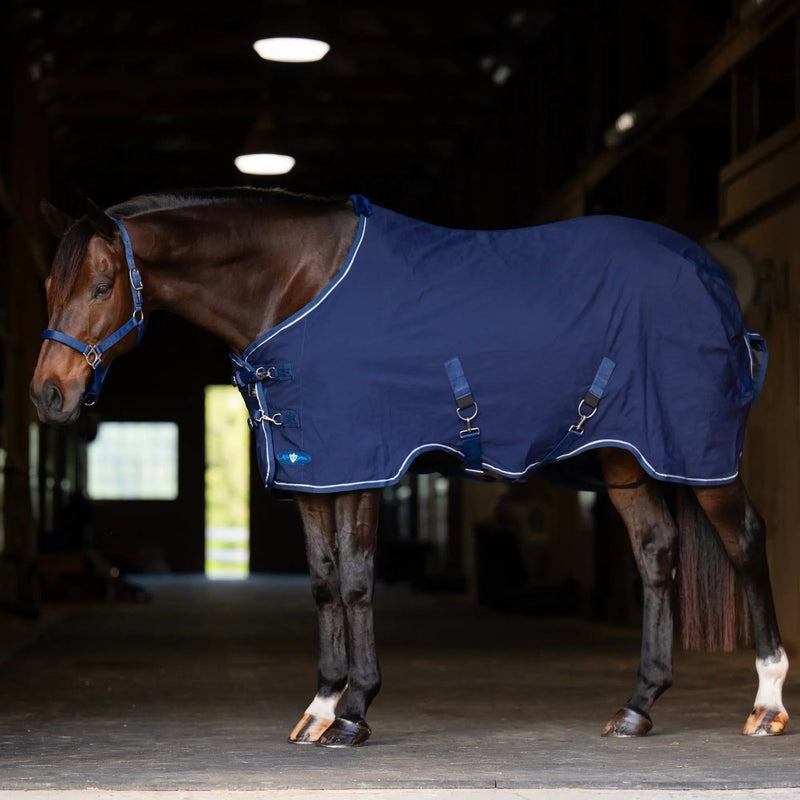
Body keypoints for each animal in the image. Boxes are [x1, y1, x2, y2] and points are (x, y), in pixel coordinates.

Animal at [30, 187, 788, 747]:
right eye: (48, 285)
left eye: (101, 285)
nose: (48, 394)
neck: (298, 285)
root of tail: (711, 277)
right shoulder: (316, 471)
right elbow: (324, 584)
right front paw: (320, 708)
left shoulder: (363, 467)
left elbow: (357, 581)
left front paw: (354, 713)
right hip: (623, 456)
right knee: (657, 554)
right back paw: (637, 707)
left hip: (703, 459)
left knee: (746, 542)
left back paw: (768, 702)